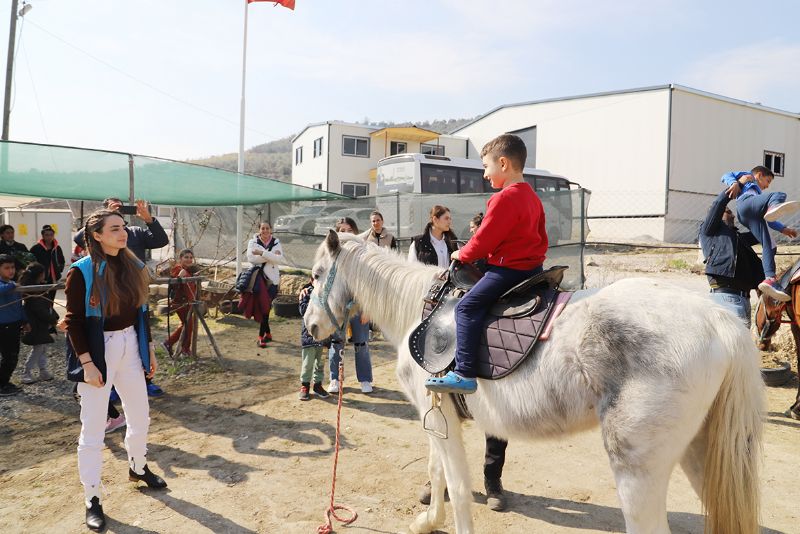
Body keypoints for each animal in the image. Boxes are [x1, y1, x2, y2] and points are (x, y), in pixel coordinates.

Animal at [304, 233, 764, 534]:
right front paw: (427, 520)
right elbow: (437, 472)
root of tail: (719, 320)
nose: (310, 327)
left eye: (318, 272)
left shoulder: (440, 415)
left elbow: (456, 482)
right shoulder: (437, 414)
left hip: (639, 468)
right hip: (700, 450)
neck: (422, 307)